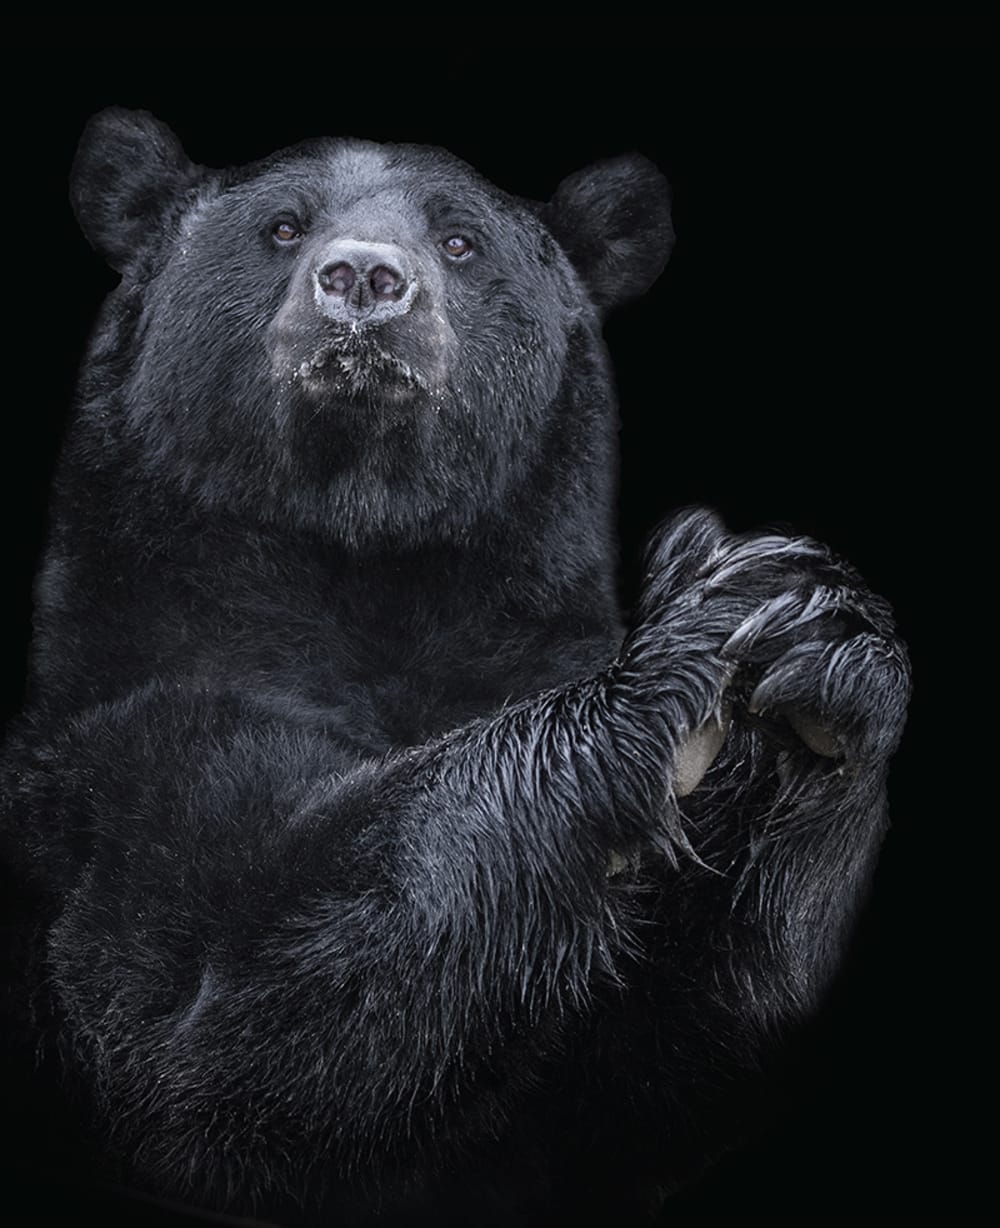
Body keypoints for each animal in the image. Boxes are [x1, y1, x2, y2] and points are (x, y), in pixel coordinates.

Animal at [1, 108, 910, 1225]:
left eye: (461, 240)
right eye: (283, 225)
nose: (363, 278)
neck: (368, 559)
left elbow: (654, 1061)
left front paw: (811, 640)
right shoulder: (112, 732)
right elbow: (218, 1007)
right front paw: (680, 657)